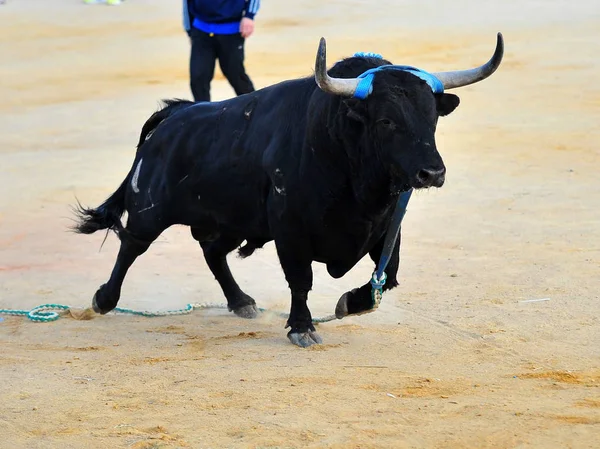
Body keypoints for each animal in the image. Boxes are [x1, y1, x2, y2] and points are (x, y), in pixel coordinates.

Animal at [75, 34, 506, 346]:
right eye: (386, 121)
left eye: (432, 117)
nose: (432, 172)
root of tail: (172, 117)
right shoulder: (290, 229)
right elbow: (301, 280)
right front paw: (302, 326)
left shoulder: (386, 229)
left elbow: (388, 275)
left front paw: (348, 304)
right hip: (151, 209)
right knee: (132, 246)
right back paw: (104, 299)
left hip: (234, 220)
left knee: (212, 252)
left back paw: (241, 302)